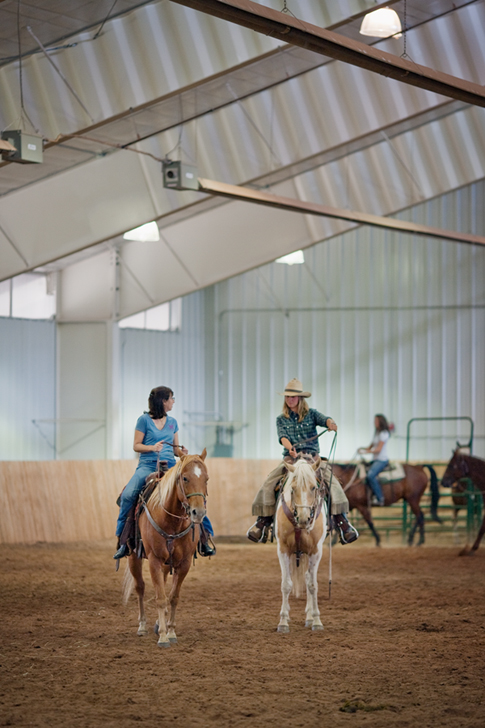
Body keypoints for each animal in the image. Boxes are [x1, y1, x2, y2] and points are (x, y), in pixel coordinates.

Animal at [121, 450, 208, 648]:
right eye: (185, 478)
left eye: (206, 479)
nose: (198, 513)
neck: (171, 521)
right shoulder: (154, 560)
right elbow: (160, 598)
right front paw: (163, 636)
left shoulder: (183, 563)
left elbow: (173, 597)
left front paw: (171, 631)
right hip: (134, 557)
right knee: (140, 587)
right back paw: (143, 626)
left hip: (168, 564)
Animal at [274, 458, 328, 636]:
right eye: (293, 488)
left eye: (313, 487)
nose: (304, 519)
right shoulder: (283, 550)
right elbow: (286, 585)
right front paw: (283, 622)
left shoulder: (316, 552)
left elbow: (312, 585)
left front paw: (316, 621)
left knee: (307, 578)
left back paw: (309, 618)